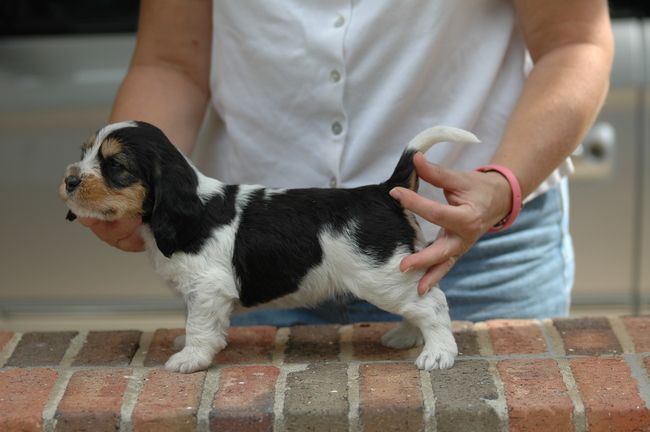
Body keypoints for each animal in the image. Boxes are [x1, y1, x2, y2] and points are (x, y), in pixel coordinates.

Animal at [60, 120, 479, 373]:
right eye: (84, 154)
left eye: (116, 166)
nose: (69, 181)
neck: (193, 207)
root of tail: (382, 190)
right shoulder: (201, 291)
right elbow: (200, 321)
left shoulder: (207, 288)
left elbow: (199, 324)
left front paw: (190, 357)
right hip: (397, 272)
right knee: (421, 297)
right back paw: (406, 336)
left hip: (382, 276)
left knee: (433, 303)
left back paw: (437, 352)